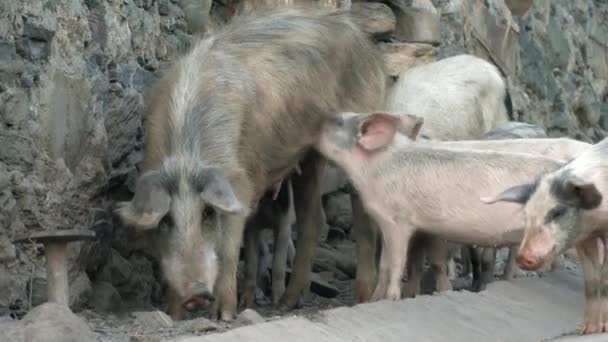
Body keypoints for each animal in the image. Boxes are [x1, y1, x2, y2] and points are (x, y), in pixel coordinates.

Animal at [114, 8, 384, 320]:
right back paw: (287, 303)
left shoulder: (238, 184)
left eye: (208, 213)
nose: (197, 296)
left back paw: (362, 298)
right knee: (312, 218)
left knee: (362, 216)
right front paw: (173, 312)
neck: (186, 158)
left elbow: (230, 248)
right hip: (308, 155)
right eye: (166, 220)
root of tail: (360, 37)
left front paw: (223, 314)